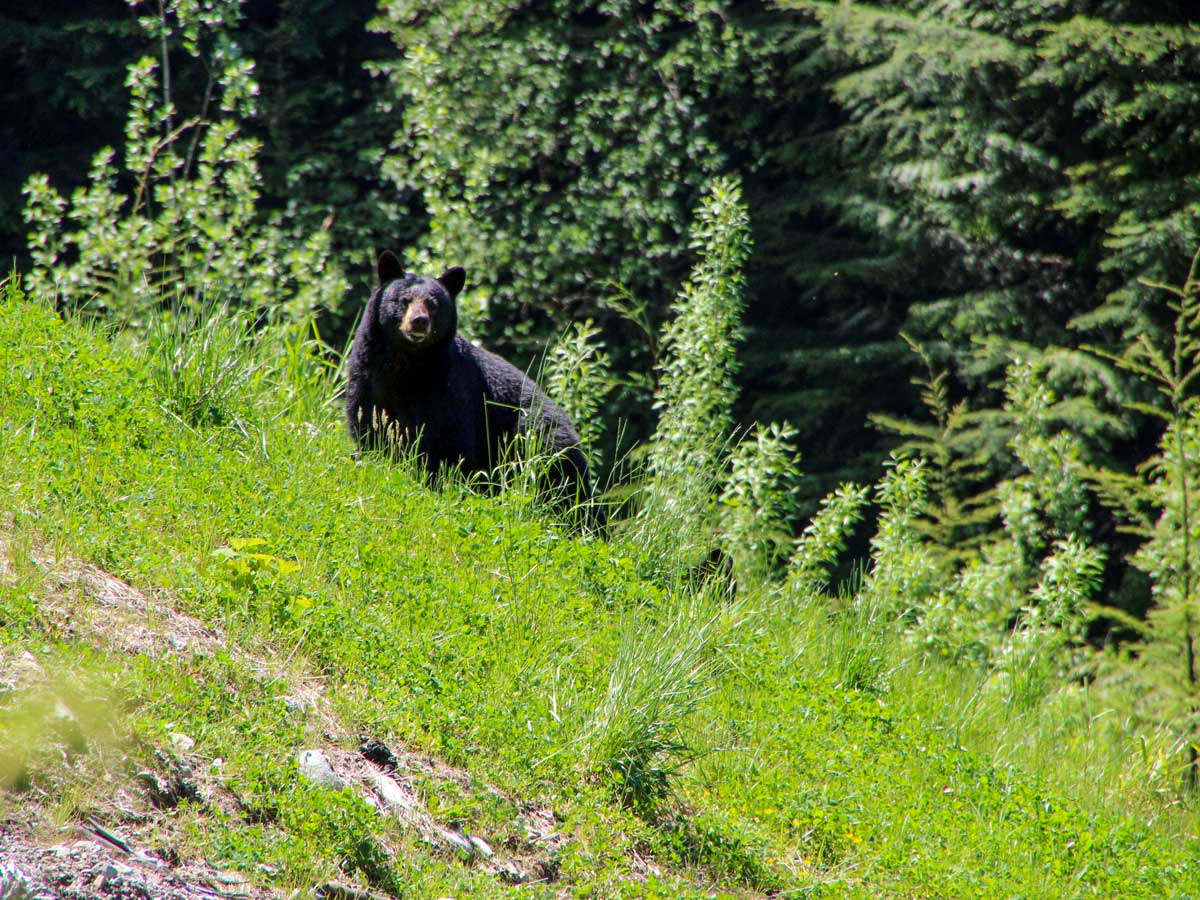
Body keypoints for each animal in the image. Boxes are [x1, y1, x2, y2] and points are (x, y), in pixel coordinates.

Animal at [343, 254, 595, 518]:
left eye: (433, 304)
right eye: (403, 300)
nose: (419, 321)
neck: (406, 363)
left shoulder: (448, 388)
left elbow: (449, 444)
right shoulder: (368, 375)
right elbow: (367, 420)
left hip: (539, 440)